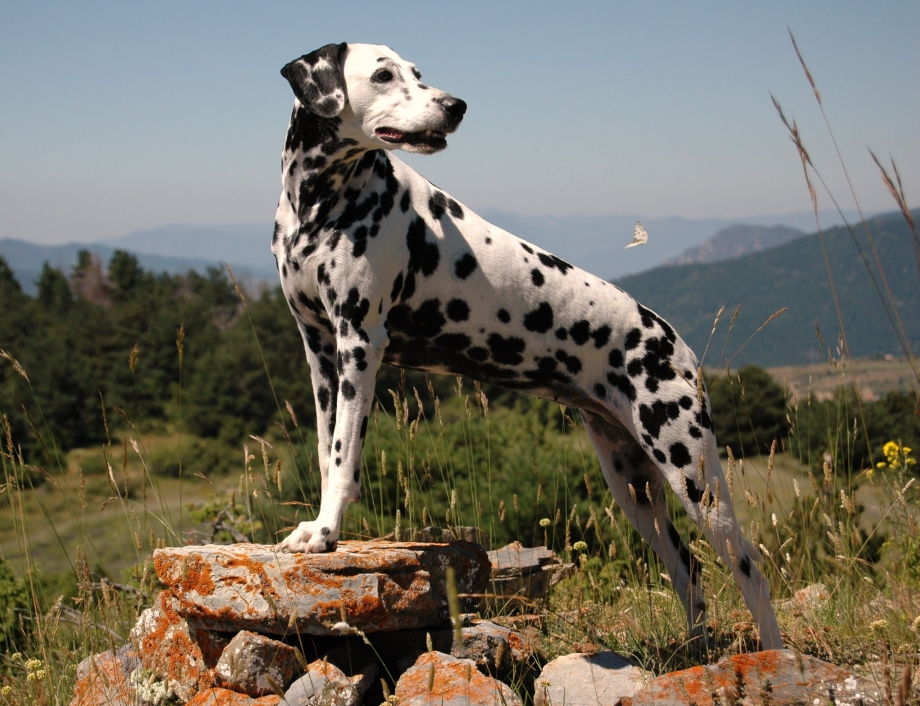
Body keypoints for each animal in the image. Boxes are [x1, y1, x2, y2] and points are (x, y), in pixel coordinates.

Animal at [274, 42, 784, 648]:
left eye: (417, 73)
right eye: (382, 74)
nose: (456, 105)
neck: (319, 203)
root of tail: (678, 346)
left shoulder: (360, 343)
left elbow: (344, 454)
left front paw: (327, 531)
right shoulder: (320, 350)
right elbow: (326, 451)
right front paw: (319, 525)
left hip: (694, 474)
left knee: (750, 568)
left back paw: (776, 656)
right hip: (633, 486)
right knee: (689, 567)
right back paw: (696, 649)